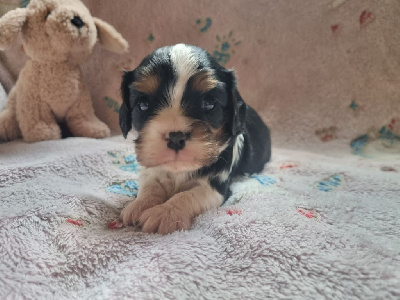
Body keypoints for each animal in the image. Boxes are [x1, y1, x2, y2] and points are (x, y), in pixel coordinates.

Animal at [117, 43, 270, 233]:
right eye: (143, 104)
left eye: (210, 103)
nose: (176, 138)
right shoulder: (151, 168)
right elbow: (150, 185)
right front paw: (138, 205)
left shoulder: (216, 186)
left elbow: (189, 194)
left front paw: (165, 212)